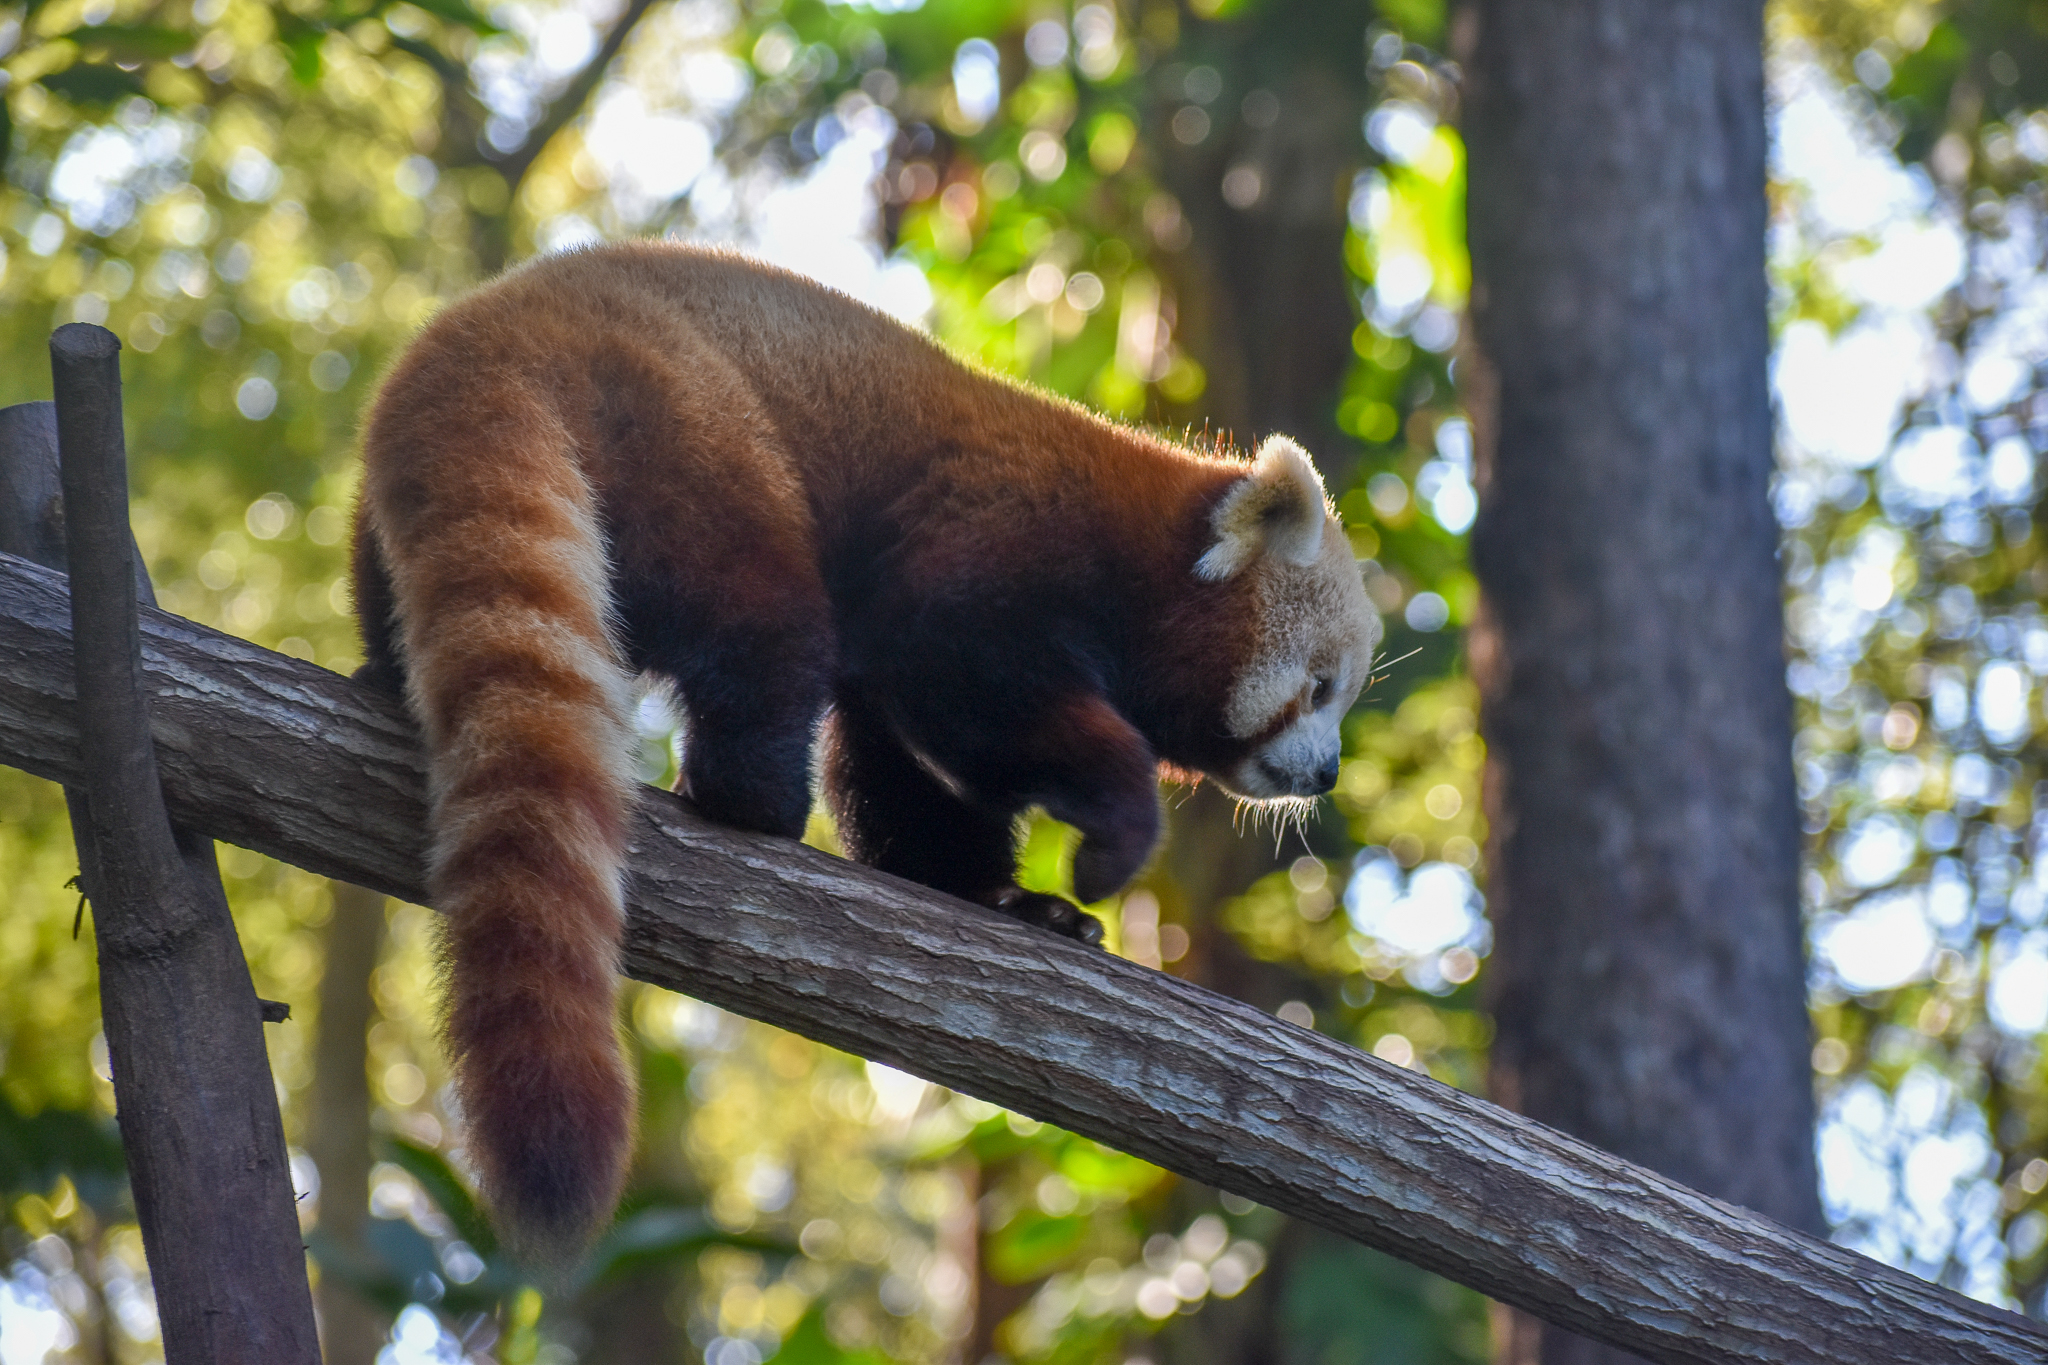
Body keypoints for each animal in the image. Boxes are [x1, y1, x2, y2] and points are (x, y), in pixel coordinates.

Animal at [352, 240, 1381, 1261]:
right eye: (1320, 688)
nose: (1328, 772)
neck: (1137, 544)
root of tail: (485, 335)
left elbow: (906, 779)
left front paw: (1006, 898)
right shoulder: (987, 537)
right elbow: (960, 679)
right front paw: (1115, 835)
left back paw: (386, 675)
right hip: (685, 421)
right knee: (760, 610)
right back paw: (751, 799)